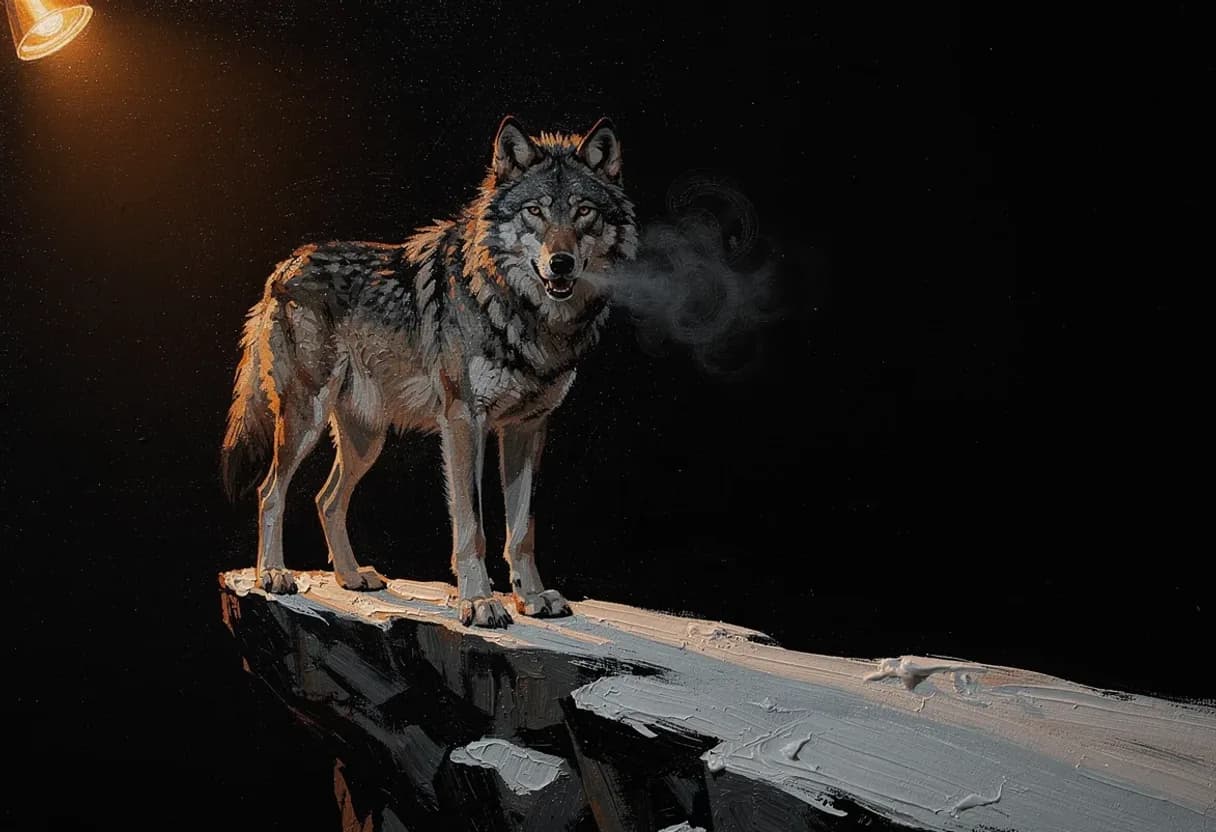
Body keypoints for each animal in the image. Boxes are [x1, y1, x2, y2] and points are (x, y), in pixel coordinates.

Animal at [221, 117, 636, 628]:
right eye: (535, 211)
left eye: (583, 212)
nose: (561, 263)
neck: (520, 313)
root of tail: (283, 266)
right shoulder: (463, 422)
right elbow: (472, 526)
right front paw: (479, 602)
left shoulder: (528, 427)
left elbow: (522, 530)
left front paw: (533, 599)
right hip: (306, 420)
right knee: (270, 491)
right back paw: (273, 575)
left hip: (366, 439)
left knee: (326, 499)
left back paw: (351, 577)